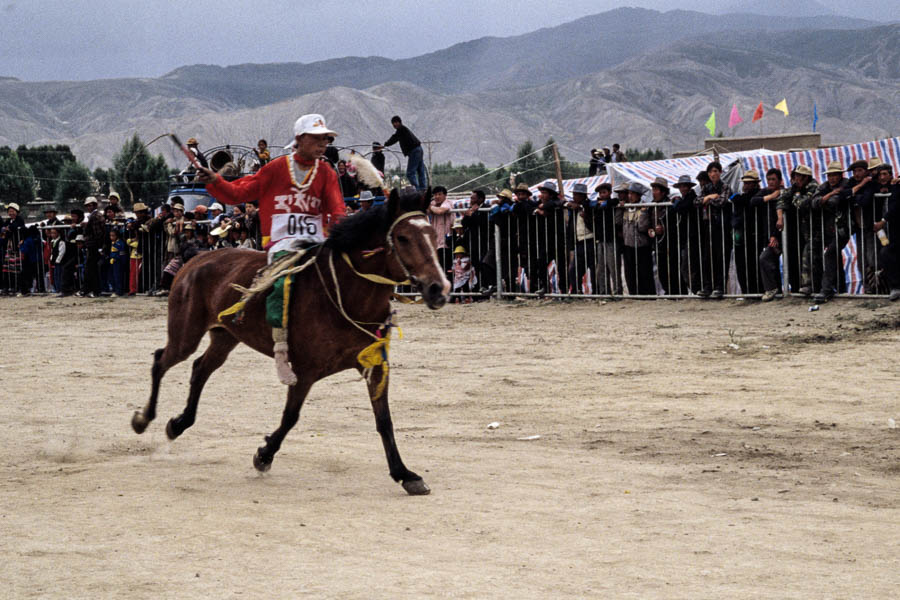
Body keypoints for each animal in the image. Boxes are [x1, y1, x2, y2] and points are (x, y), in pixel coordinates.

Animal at [132, 189, 450, 496]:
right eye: (403, 238)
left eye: (433, 235)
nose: (439, 289)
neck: (346, 293)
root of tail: (196, 259)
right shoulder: (305, 371)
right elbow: (290, 417)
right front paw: (263, 455)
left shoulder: (375, 365)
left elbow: (384, 420)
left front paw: (405, 474)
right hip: (186, 334)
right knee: (161, 360)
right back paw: (144, 418)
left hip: (225, 336)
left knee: (200, 369)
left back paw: (178, 423)